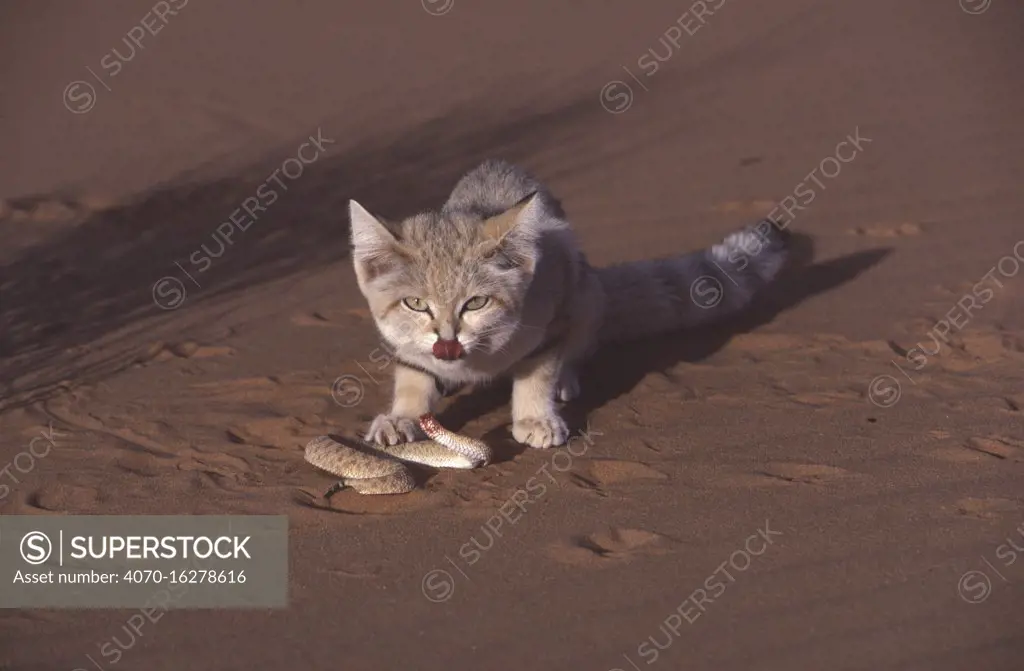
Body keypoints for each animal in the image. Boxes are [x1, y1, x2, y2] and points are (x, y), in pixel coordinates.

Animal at [348, 159, 786, 448]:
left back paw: (565, 381)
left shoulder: (551, 317)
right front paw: (402, 417)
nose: (447, 345)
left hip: (586, 295)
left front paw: (534, 416)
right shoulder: (407, 345)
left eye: (476, 303)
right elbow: (413, 377)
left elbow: (536, 373)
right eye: (415, 303)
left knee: (579, 349)